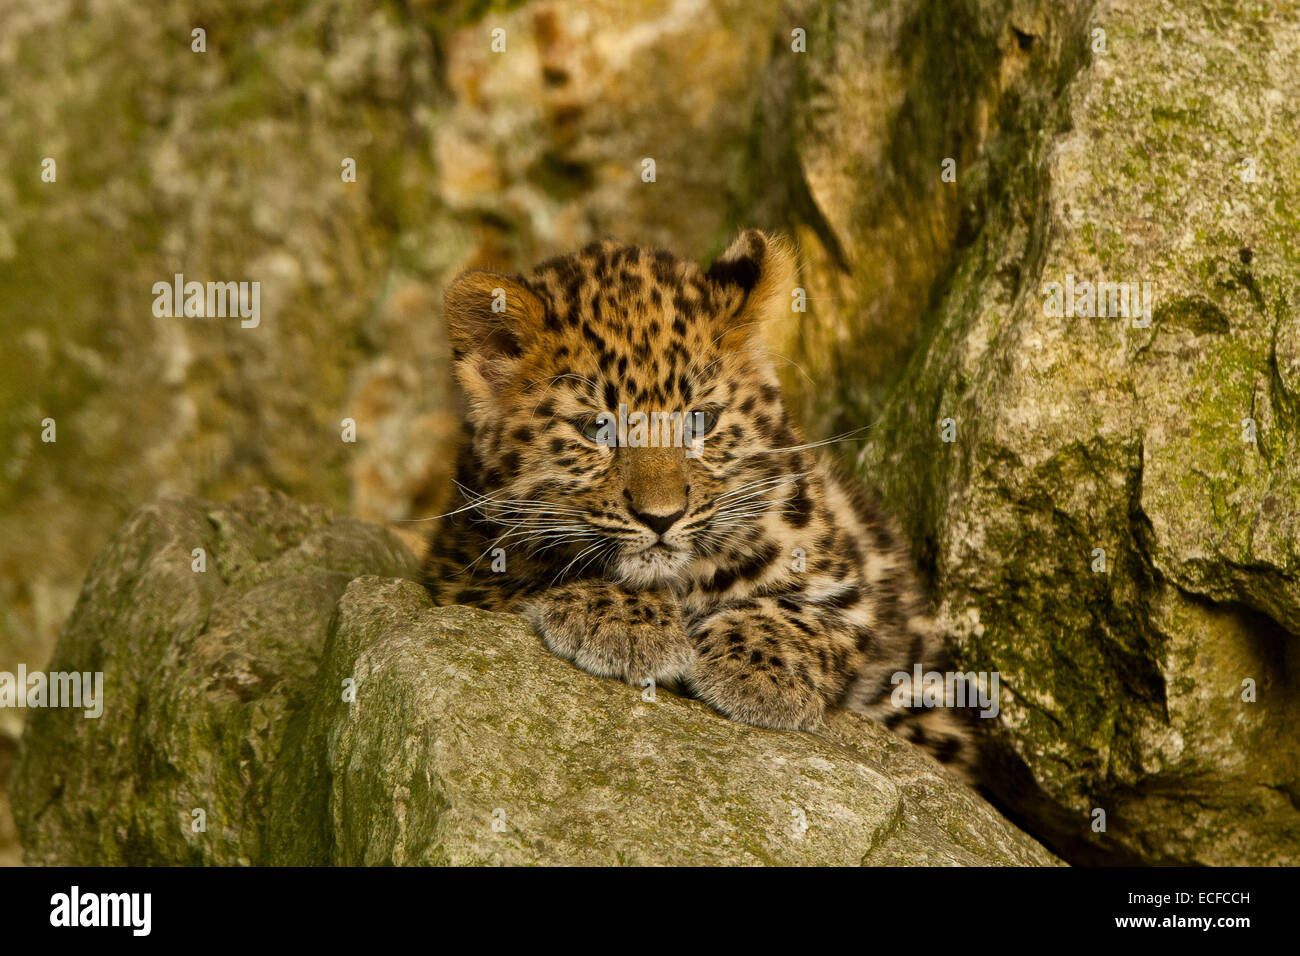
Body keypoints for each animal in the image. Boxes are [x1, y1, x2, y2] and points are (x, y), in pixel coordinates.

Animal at [421, 229, 976, 779]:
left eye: (699, 422)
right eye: (597, 428)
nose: (661, 517)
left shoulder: (847, 582)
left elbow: (812, 613)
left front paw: (760, 666)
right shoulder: (459, 568)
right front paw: (623, 617)